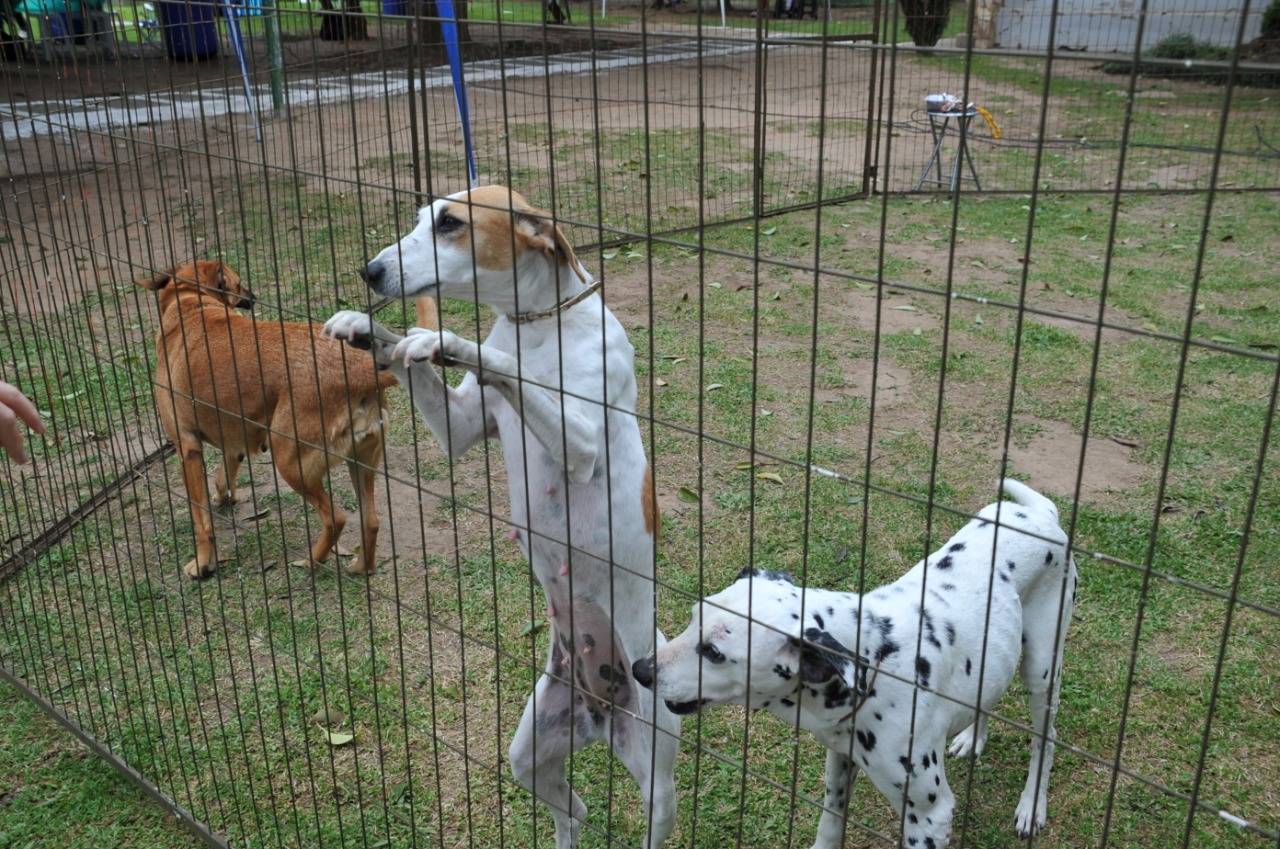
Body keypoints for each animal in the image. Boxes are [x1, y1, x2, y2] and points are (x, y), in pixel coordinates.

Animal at [138, 258, 435, 578]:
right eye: (240, 282)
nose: (253, 297)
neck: (192, 303)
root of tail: (360, 368)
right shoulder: (234, 440)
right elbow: (223, 476)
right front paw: (223, 497)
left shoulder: (187, 447)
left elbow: (201, 519)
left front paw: (204, 563)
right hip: (360, 463)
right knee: (371, 522)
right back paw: (359, 567)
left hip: (290, 461)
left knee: (336, 519)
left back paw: (311, 561)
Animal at [322, 185, 680, 849]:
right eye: (419, 218)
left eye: (451, 223)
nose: (370, 271)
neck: (540, 326)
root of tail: (603, 709)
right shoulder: (464, 426)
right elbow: (417, 363)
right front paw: (366, 327)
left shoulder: (581, 445)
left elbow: (498, 362)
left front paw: (447, 339)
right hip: (531, 751)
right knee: (575, 812)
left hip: (657, 785)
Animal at [634, 481, 1075, 845]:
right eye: (693, 617)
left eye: (714, 652)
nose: (641, 670)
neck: (878, 661)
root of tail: (1043, 515)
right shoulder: (840, 760)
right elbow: (829, 826)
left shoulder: (928, 816)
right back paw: (972, 737)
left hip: (1042, 672)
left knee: (1046, 740)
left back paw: (1031, 805)